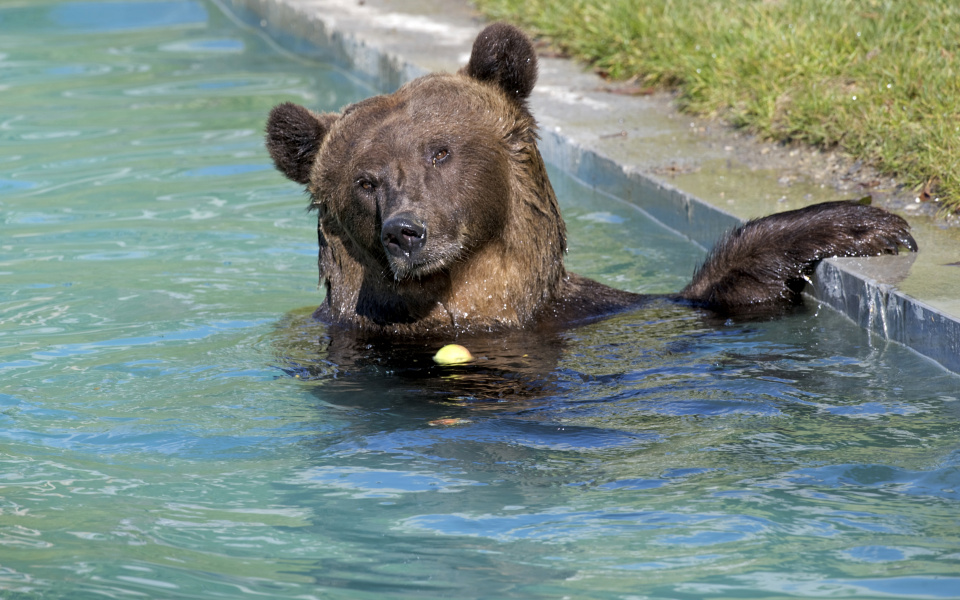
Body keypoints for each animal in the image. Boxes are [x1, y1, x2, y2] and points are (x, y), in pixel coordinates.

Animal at [265, 22, 917, 338]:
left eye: (439, 151)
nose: (407, 231)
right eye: (365, 180)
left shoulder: (602, 310)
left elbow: (726, 290)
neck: (474, 304)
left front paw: (867, 225)